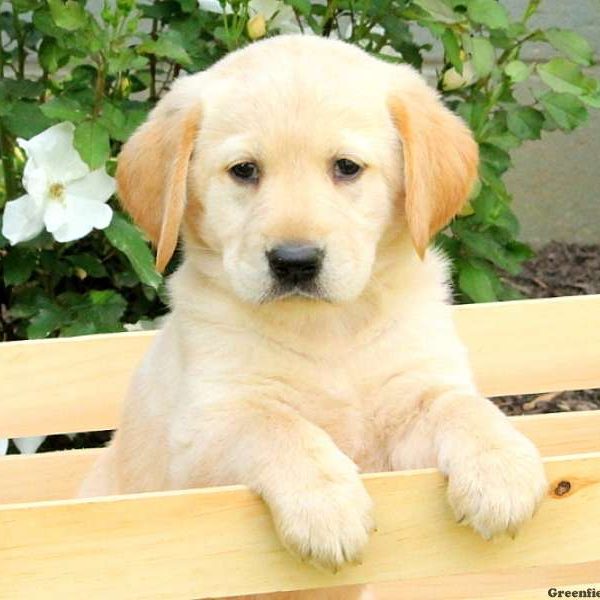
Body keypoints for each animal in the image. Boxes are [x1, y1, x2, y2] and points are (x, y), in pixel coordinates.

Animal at [79, 34, 548, 600]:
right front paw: (326, 507)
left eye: (346, 167)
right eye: (244, 171)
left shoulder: (412, 405)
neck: (328, 330)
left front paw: (502, 468)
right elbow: (277, 425)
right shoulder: (202, 437)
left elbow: (462, 407)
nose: (295, 261)